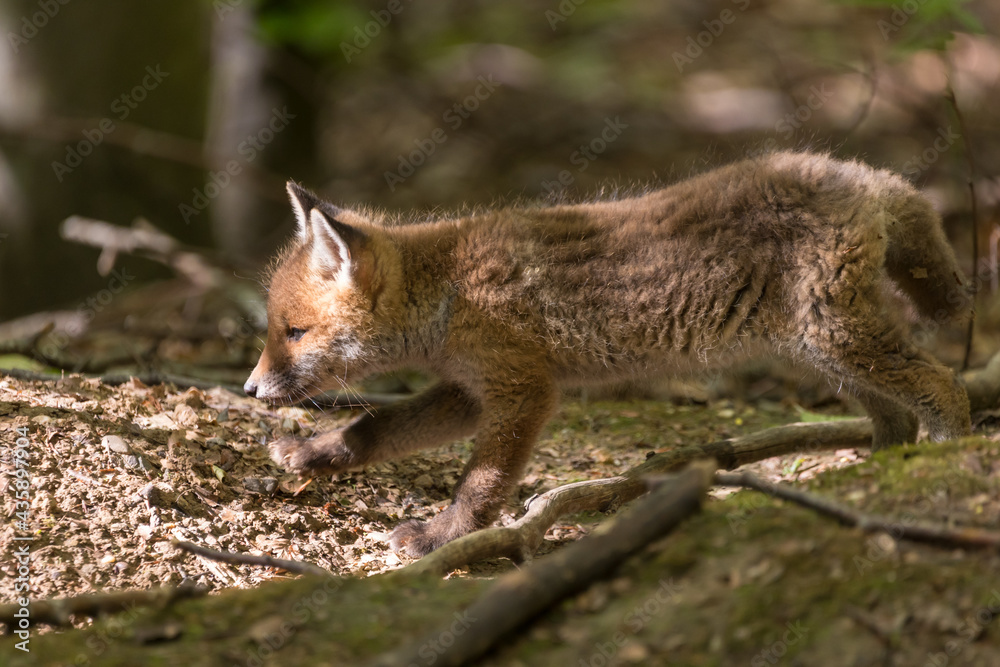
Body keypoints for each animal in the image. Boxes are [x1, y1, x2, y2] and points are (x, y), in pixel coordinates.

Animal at [246, 153, 972, 560]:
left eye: (293, 332)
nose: (252, 389)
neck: (450, 293)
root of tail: (857, 172)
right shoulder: (469, 389)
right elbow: (375, 428)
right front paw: (310, 453)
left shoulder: (524, 389)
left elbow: (480, 484)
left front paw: (443, 536)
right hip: (825, 354)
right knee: (896, 415)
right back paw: (868, 481)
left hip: (837, 339)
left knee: (945, 386)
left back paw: (950, 462)